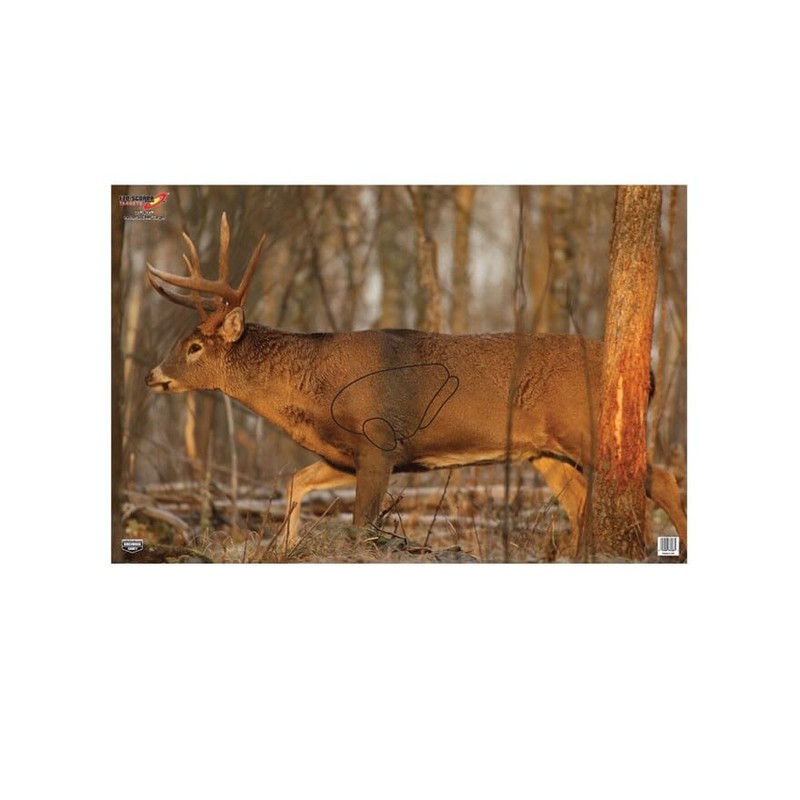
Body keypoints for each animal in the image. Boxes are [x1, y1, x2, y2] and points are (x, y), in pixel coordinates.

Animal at [145, 213, 687, 556]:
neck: (315, 392)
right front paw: (287, 546)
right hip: (544, 451)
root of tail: (648, 372)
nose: (152, 375)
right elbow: (296, 481)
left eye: (194, 346)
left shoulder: (379, 442)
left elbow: (363, 528)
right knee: (580, 504)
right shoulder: (346, 454)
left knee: (660, 479)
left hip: (586, 429)